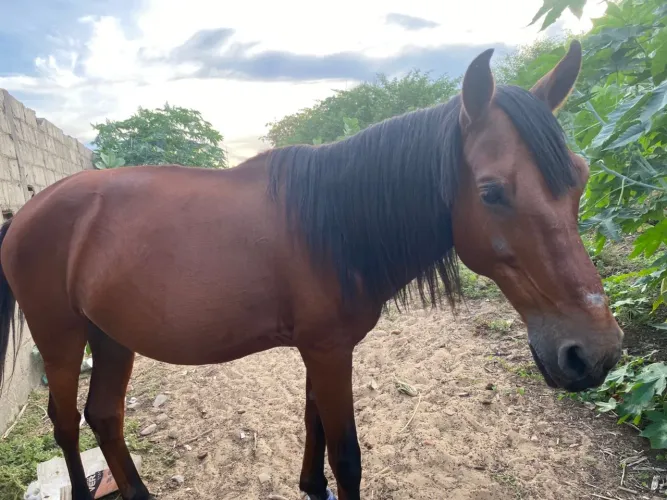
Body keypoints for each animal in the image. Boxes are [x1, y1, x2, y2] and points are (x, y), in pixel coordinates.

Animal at [0, 40, 622, 500]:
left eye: (582, 176)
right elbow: (346, 455)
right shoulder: (327, 350)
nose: (593, 353)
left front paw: (310, 486)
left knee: (104, 415)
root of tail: (26, 212)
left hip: (111, 336)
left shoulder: (320, 350)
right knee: (64, 421)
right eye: (492, 192)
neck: (335, 223)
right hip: (61, 338)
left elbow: (313, 423)